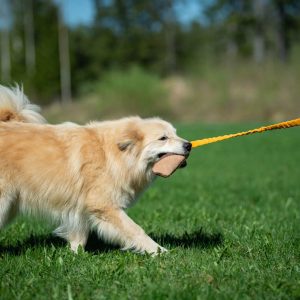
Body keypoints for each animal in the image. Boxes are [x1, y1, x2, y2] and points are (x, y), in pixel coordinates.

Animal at [0, 85, 192, 254]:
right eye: (163, 138)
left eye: (175, 134)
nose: (189, 145)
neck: (112, 153)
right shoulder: (104, 205)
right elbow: (136, 230)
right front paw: (159, 251)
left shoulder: (81, 209)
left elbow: (79, 237)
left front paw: (74, 256)